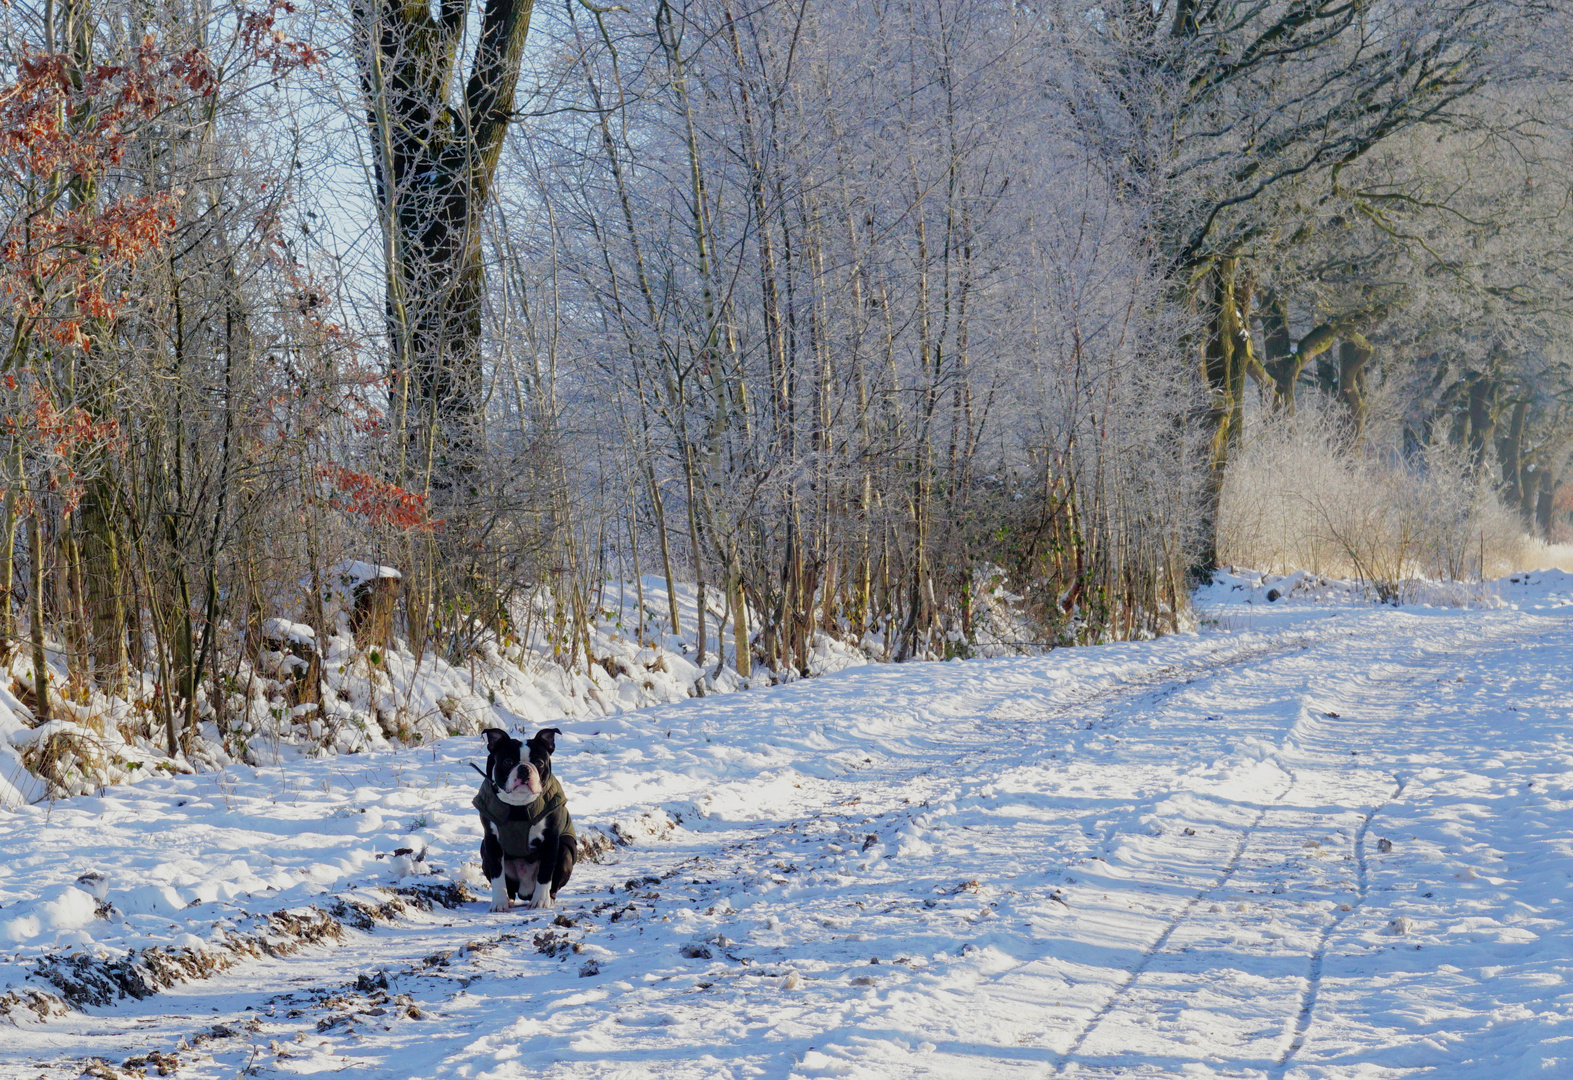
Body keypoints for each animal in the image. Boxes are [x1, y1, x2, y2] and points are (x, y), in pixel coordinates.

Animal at [475, 726, 582, 911]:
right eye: (508, 762)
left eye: (539, 763)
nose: (524, 768)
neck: (518, 807)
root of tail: (525, 890)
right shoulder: (491, 841)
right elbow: (497, 875)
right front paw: (499, 903)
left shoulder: (551, 839)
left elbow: (545, 873)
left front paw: (540, 901)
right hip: (484, 851)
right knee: (509, 885)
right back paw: (509, 899)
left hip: (565, 849)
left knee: (553, 883)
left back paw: (548, 899)